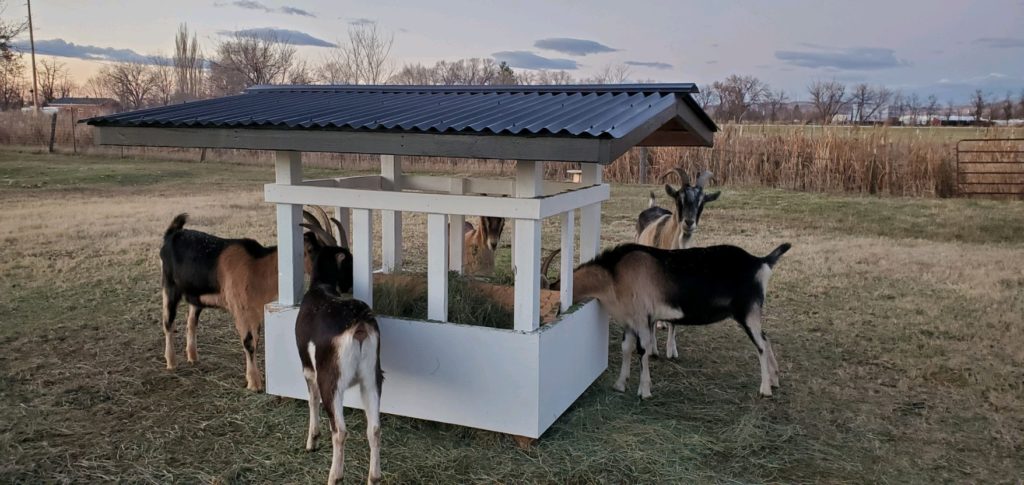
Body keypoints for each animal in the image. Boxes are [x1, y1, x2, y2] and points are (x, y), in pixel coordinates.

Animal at [158, 210, 349, 391]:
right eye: (312, 251)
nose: (340, 286)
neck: (257, 268)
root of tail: (172, 234)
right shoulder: (240, 310)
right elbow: (249, 343)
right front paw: (254, 383)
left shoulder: (255, 311)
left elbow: (256, 341)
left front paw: (257, 377)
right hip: (169, 286)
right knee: (168, 322)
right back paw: (171, 363)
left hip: (195, 296)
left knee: (191, 321)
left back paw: (193, 357)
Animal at [296, 245, 381, 485]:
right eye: (349, 260)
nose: (349, 283)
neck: (320, 286)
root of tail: (359, 323)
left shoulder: (309, 369)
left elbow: (311, 400)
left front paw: (312, 441)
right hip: (371, 378)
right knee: (375, 428)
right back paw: (374, 477)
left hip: (331, 382)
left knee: (340, 431)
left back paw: (334, 476)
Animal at [569, 242, 791, 398]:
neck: (615, 274)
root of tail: (760, 262)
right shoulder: (630, 321)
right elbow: (626, 348)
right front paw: (620, 384)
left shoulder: (642, 317)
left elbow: (643, 350)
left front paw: (644, 391)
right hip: (753, 314)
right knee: (766, 339)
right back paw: (775, 379)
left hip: (747, 312)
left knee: (760, 345)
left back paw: (765, 389)